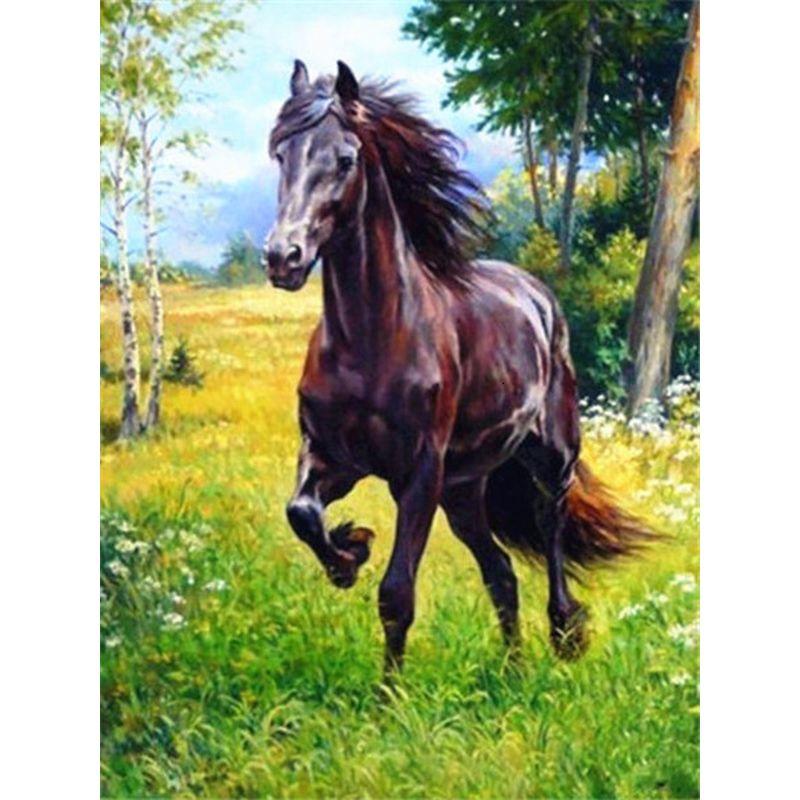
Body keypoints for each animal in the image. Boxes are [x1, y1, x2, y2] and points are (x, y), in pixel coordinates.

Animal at [263, 60, 655, 677]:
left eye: (345, 159)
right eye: (281, 153)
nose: (283, 258)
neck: (371, 339)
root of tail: (537, 295)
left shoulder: (419, 474)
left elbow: (396, 594)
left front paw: (389, 695)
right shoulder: (331, 456)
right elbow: (301, 511)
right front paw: (350, 551)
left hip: (550, 459)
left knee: (551, 531)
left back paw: (565, 635)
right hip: (465, 491)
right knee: (501, 573)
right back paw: (514, 671)